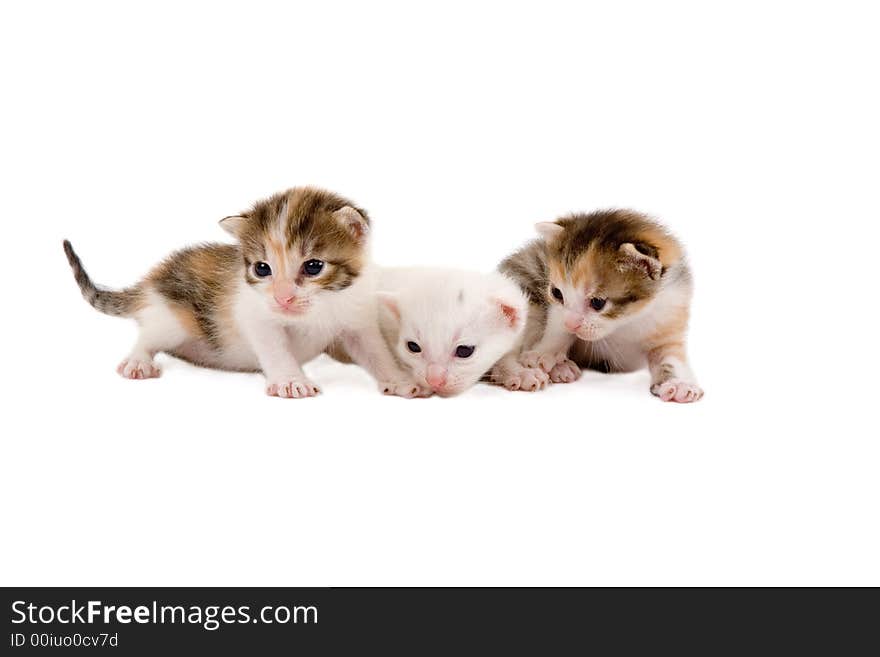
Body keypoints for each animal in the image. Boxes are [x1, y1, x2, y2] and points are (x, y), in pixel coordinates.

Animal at [62, 187, 426, 398]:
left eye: (313, 266)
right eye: (262, 269)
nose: (282, 298)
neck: (319, 309)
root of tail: (151, 280)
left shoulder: (356, 319)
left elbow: (375, 351)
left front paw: (400, 380)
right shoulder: (256, 316)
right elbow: (275, 347)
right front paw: (290, 380)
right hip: (171, 317)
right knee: (149, 335)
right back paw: (137, 361)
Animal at [492, 210, 704, 402]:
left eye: (598, 302)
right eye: (557, 293)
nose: (571, 324)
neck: (628, 321)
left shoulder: (670, 317)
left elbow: (671, 358)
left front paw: (679, 384)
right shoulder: (555, 309)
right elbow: (558, 327)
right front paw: (544, 352)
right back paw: (522, 374)